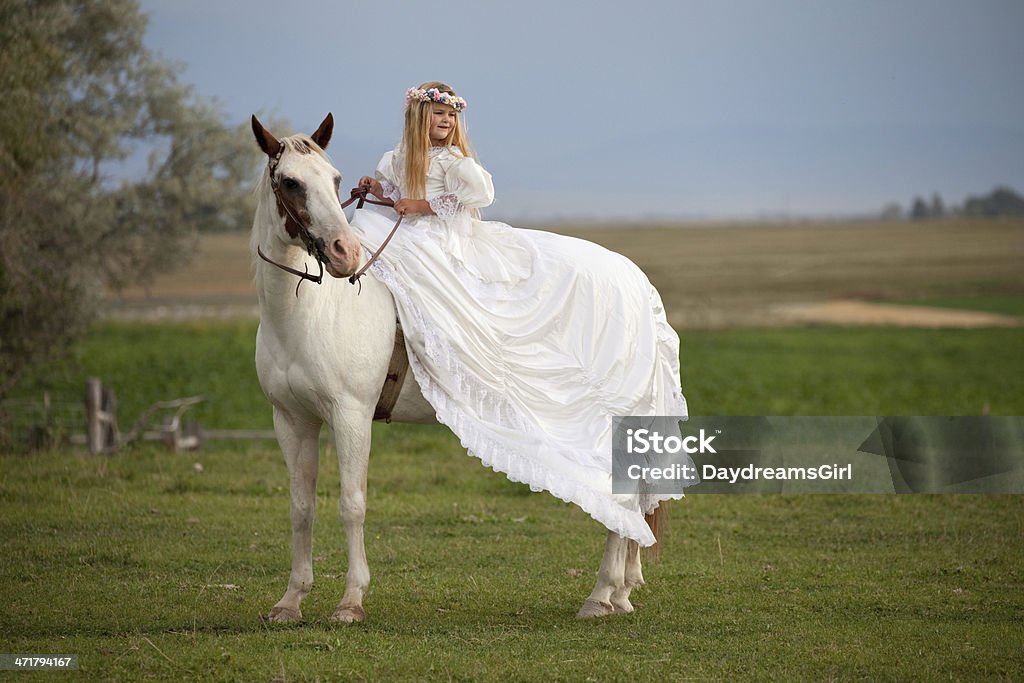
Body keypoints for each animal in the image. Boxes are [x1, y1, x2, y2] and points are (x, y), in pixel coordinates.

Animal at [251, 114, 659, 622]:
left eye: (335, 179)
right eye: (291, 182)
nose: (345, 252)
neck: (309, 312)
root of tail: (635, 278)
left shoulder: (351, 416)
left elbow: (352, 504)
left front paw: (351, 602)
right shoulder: (291, 420)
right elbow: (301, 507)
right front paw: (290, 601)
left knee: (620, 498)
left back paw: (601, 594)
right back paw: (619, 593)